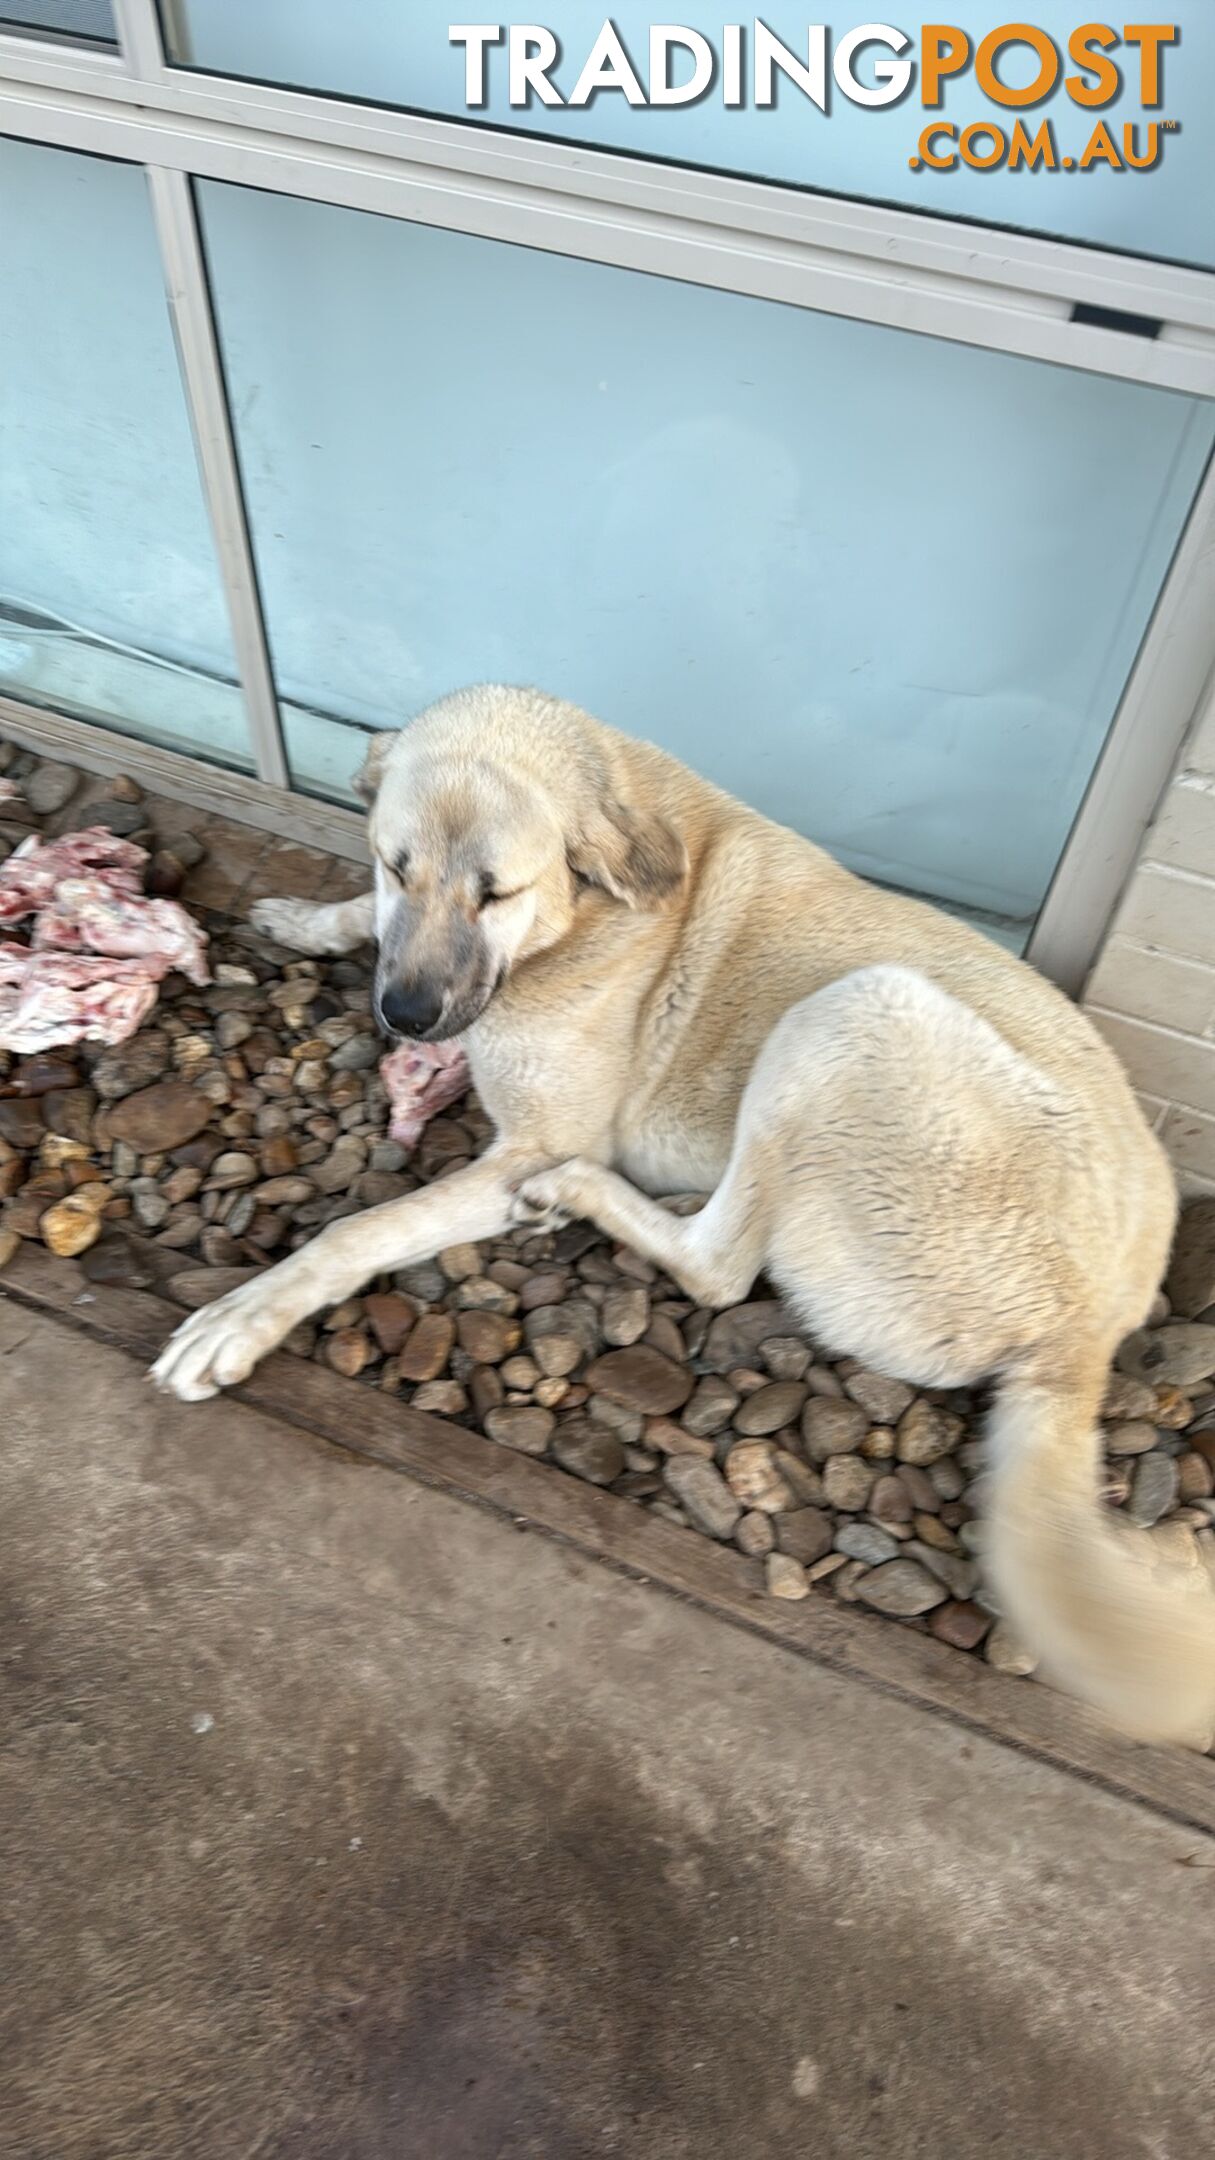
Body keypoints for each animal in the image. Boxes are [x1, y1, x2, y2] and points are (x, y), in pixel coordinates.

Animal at [151, 682, 1210, 1745]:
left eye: (496, 893)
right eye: (393, 865)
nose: (404, 1016)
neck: (587, 911)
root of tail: (1083, 1340)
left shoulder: (527, 1141)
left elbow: (357, 1230)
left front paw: (242, 1318)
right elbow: (362, 921)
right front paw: (311, 918)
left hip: (855, 1011)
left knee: (719, 1267)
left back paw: (576, 1197)